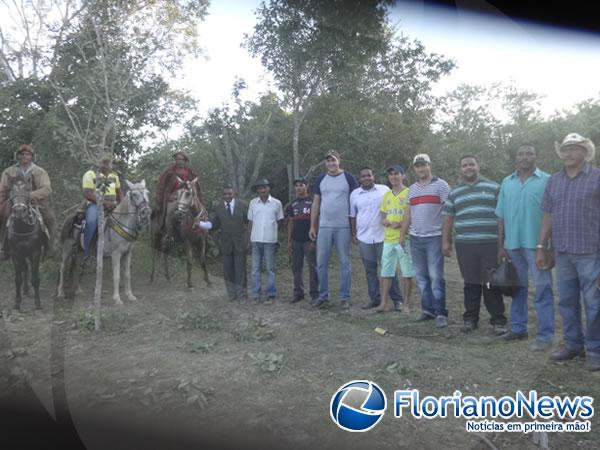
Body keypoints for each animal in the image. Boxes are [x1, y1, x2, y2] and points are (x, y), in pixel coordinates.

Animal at [7, 175, 44, 310]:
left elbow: (35, 278)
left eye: (28, 190)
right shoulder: (15, 253)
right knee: (25, 269)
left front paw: (38, 303)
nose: (19, 210)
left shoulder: (35, 252)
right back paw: (25, 289)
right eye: (11, 191)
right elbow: (17, 279)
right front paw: (17, 302)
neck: (23, 228)